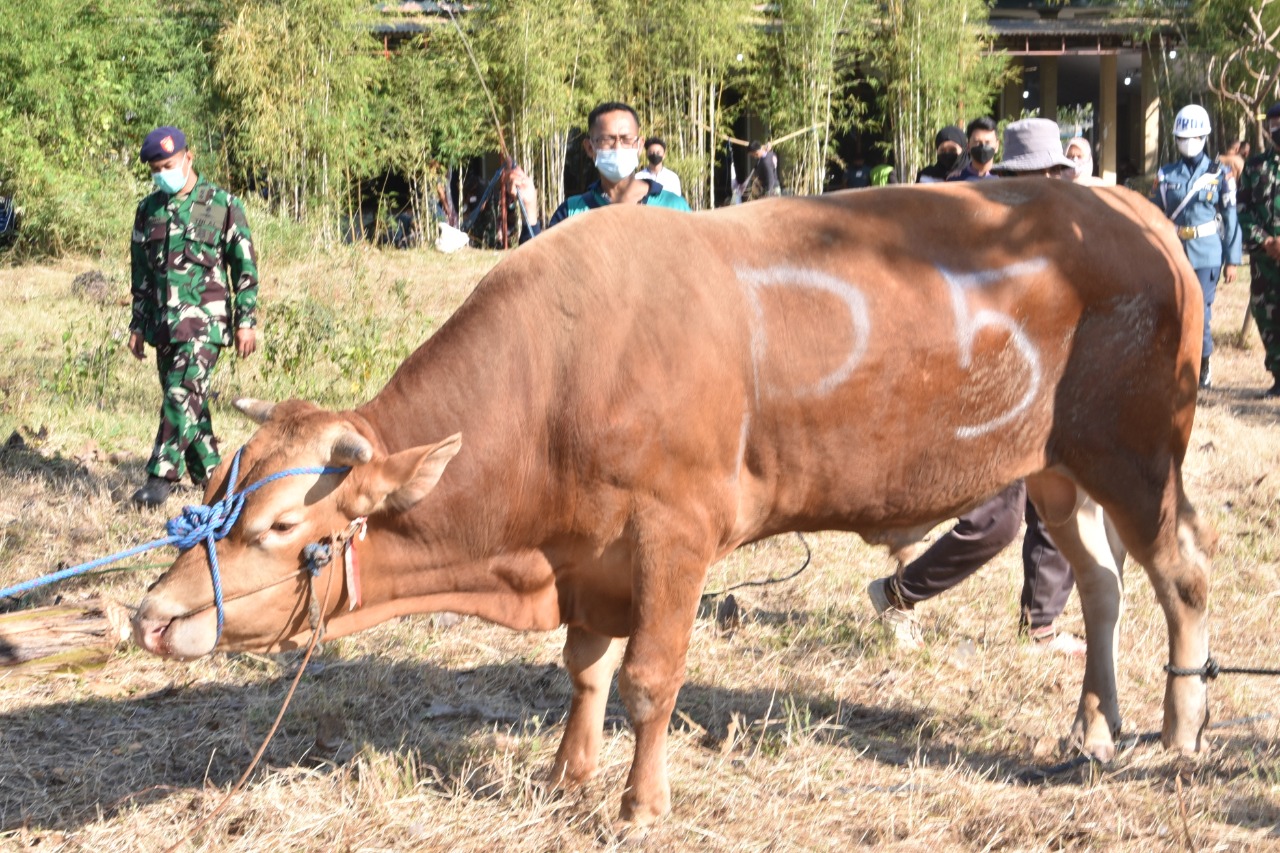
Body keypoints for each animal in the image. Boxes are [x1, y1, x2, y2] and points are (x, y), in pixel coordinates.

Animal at [135, 179, 1213, 824]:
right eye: (215, 491)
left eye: (283, 525)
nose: (151, 613)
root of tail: (1122, 200)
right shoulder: (585, 554)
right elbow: (583, 669)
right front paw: (565, 776)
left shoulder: (673, 534)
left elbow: (650, 678)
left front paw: (637, 803)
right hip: (1057, 468)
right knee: (1103, 584)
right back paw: (1092, 725)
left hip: (1136, 455)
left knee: (1183, 577)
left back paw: (1176, 730)